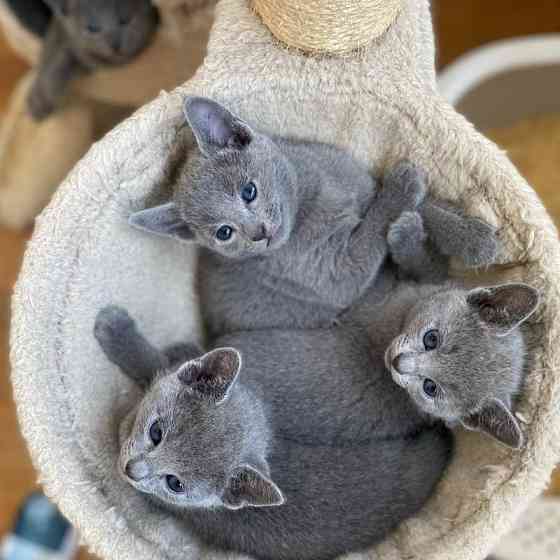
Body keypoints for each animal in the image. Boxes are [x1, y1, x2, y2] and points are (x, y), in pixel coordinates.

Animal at [26, 0, 158, 119]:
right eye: (93, 28)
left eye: (125, 20)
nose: (115, 45)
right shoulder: (73, 44)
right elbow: (65, 59)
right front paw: (44, 97)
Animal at [131, 96, 498, 336]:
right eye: (224, 233)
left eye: (249, 191)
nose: (259, 233)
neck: (311, 199)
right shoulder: (334, 273)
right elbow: (374, 229)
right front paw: (403, 185)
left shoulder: (363, 185)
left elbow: (420, 207)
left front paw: (473, 238)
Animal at [376, 212, 540, 448]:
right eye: (431, 339)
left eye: (430, 387)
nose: (398, 362)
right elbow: (427, 265)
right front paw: (408, 231)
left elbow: (422, 264)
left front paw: (405, 231)